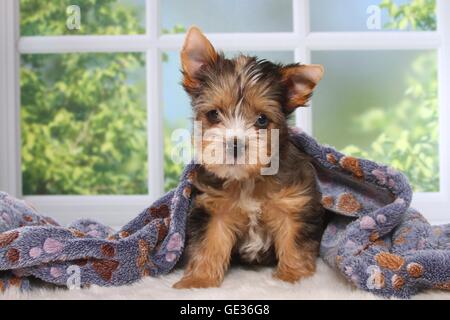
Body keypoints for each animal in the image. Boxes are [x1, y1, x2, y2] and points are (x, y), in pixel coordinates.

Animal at [174, 26, 326, 288]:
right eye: (213, 114)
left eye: (262, 120)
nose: (235, 145)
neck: (247, 179)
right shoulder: (214, 208)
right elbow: (209, 242)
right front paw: (198, 281)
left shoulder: (294, 203)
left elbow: (294, 240)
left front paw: (293, 277)